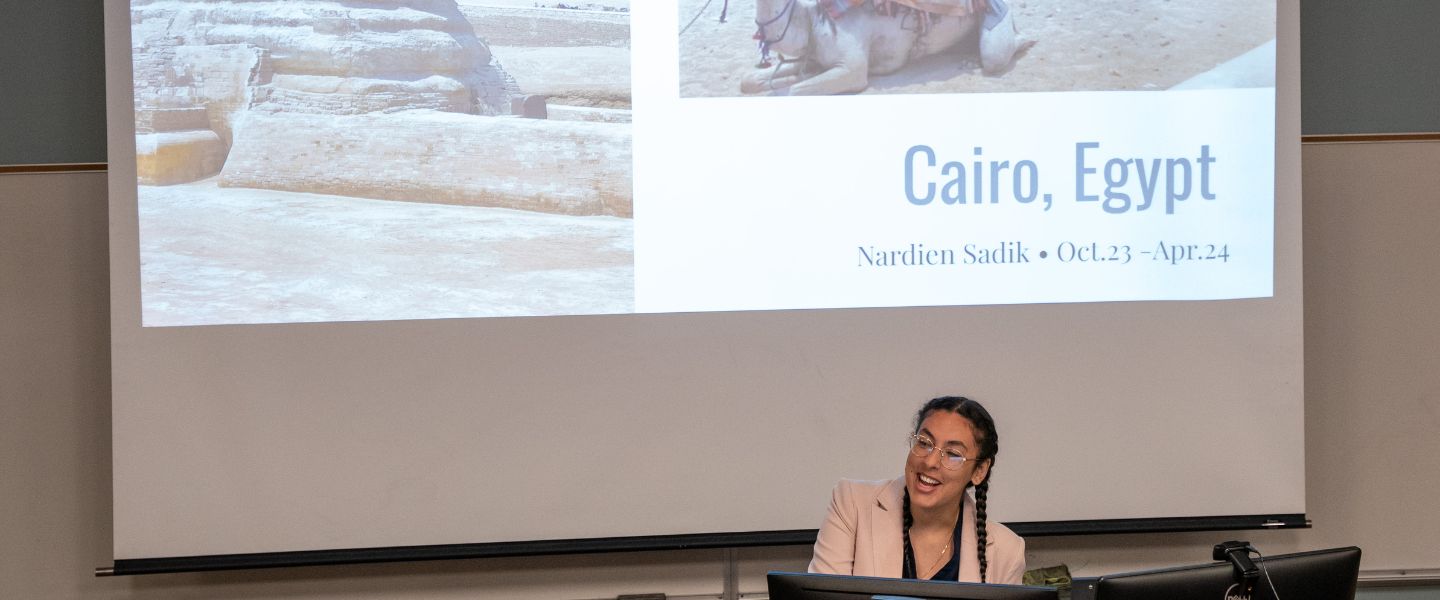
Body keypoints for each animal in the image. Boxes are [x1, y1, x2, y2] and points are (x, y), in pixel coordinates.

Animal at [743, 0, 1025, 94]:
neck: (811, 17)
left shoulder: (852, 69)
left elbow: (795, 91)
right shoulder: (814, 59)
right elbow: (749, 80)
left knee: (995, 55)